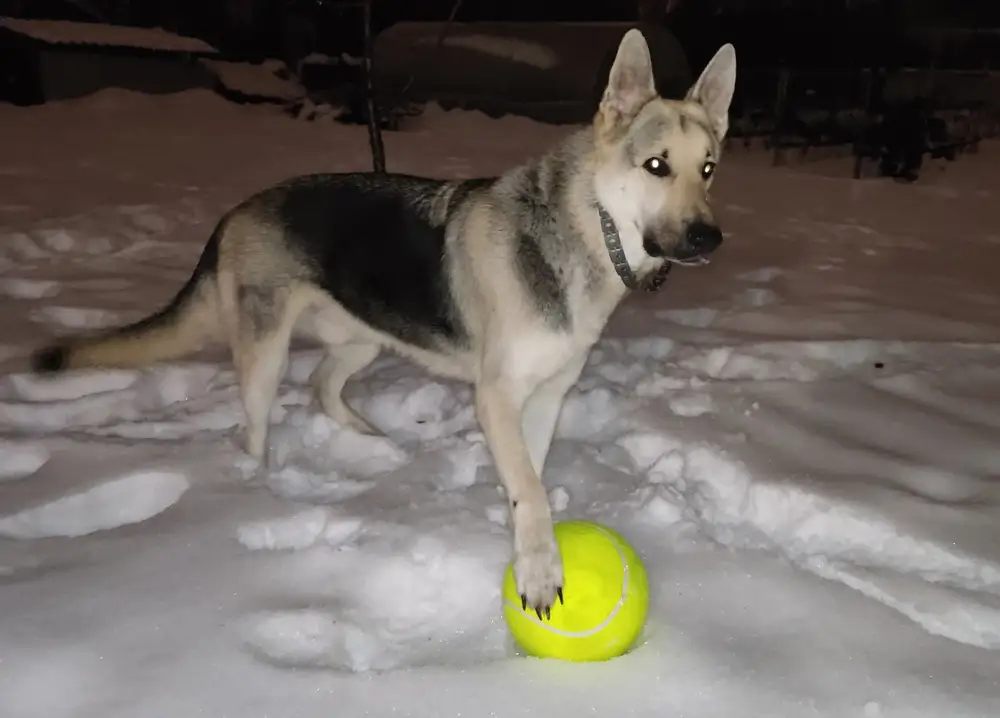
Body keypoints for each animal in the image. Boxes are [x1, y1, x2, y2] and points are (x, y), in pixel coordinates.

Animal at [29, 31, 736, 620]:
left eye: (708, 168)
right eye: (655, 166)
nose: (709, 240)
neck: (588, 232)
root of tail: (235, 212)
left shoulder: (546, 394)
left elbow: (527, 477)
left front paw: (518, 540)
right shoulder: (497, 395)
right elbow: (529, 492)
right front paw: (538, 572)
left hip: (364, 338)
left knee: (321, 385)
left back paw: (375, 443)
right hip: (266, 352)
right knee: (255, 426)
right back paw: (260, 491)